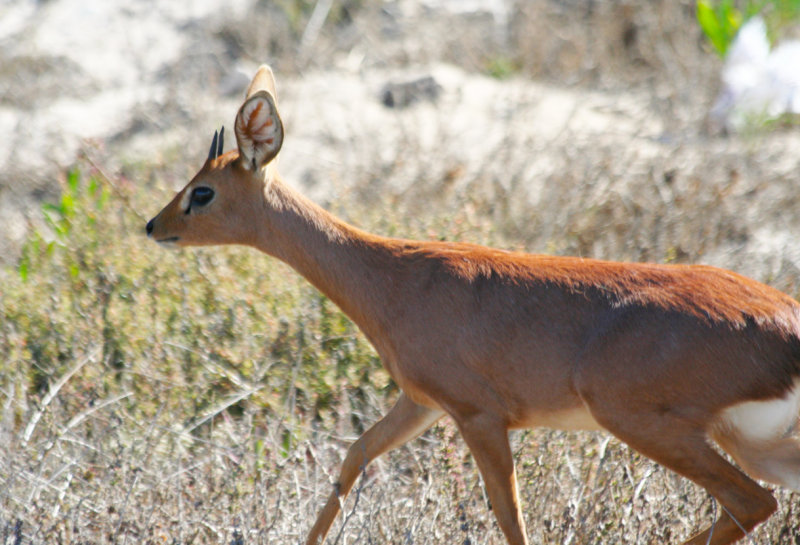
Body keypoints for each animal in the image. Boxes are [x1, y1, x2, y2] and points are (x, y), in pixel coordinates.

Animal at [147, 66, 800, 540]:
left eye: (202, 192)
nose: (153, 225)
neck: (395, 276)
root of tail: (785, 321)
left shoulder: (478, 416)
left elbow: (509, 516)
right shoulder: (422, 404)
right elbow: (354, 456)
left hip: (648, 424)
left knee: (748, 502)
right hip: (756, 444)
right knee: (758, 503)